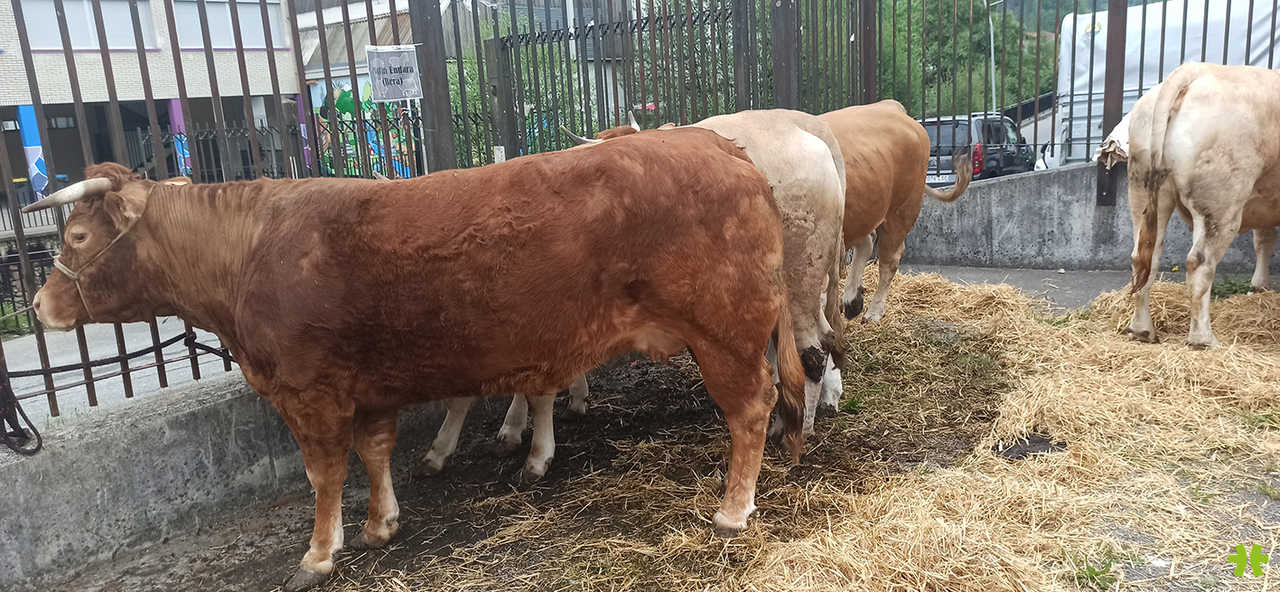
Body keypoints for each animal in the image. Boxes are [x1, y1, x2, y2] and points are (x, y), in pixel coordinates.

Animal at [23, 127, 807, 591]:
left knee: (750, 409)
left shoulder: (307, 392)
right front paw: (381, 526)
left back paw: (733, 509)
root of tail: (717, 145)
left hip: (726, 334)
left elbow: (324, 473)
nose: (38, 305)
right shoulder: (364, 388)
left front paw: (319, 552)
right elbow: (374, 453)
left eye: (80, 237)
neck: (248, 248)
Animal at [817, 101, 972, 324]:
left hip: (902, 210)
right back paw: (853, 300)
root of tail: (889, 105)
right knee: (867, 242)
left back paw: (873, 311)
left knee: (889, 259)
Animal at [1097, 90, 1278, 339]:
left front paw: (1260, 287)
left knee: (1143, 258)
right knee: (1199, 262)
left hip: (1144, 190)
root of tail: (1186, 81)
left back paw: (1142, 330)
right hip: (1221, 201)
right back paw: (1203, 338)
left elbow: (1264, 240)